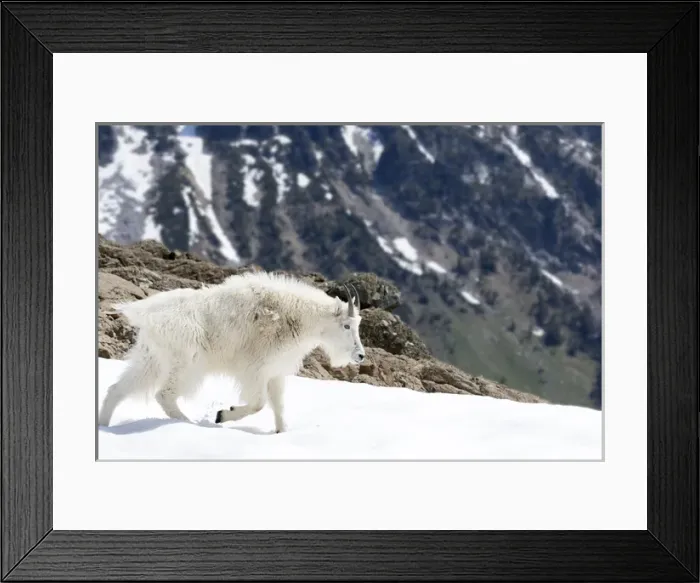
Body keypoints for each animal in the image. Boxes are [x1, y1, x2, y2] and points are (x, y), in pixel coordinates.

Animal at [98, 271, 365, 433]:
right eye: (347, 325)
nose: (360, 356)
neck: (296, 317)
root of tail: (145, 314)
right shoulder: (255, 370)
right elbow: (258, 404)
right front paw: (223, 415)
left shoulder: (275, 373)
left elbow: (279, 406)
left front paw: (282, 433)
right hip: (186, 364)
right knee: (164, 394)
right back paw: (189, 423)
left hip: (151, 359)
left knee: (118, 389)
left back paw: (104, 426)